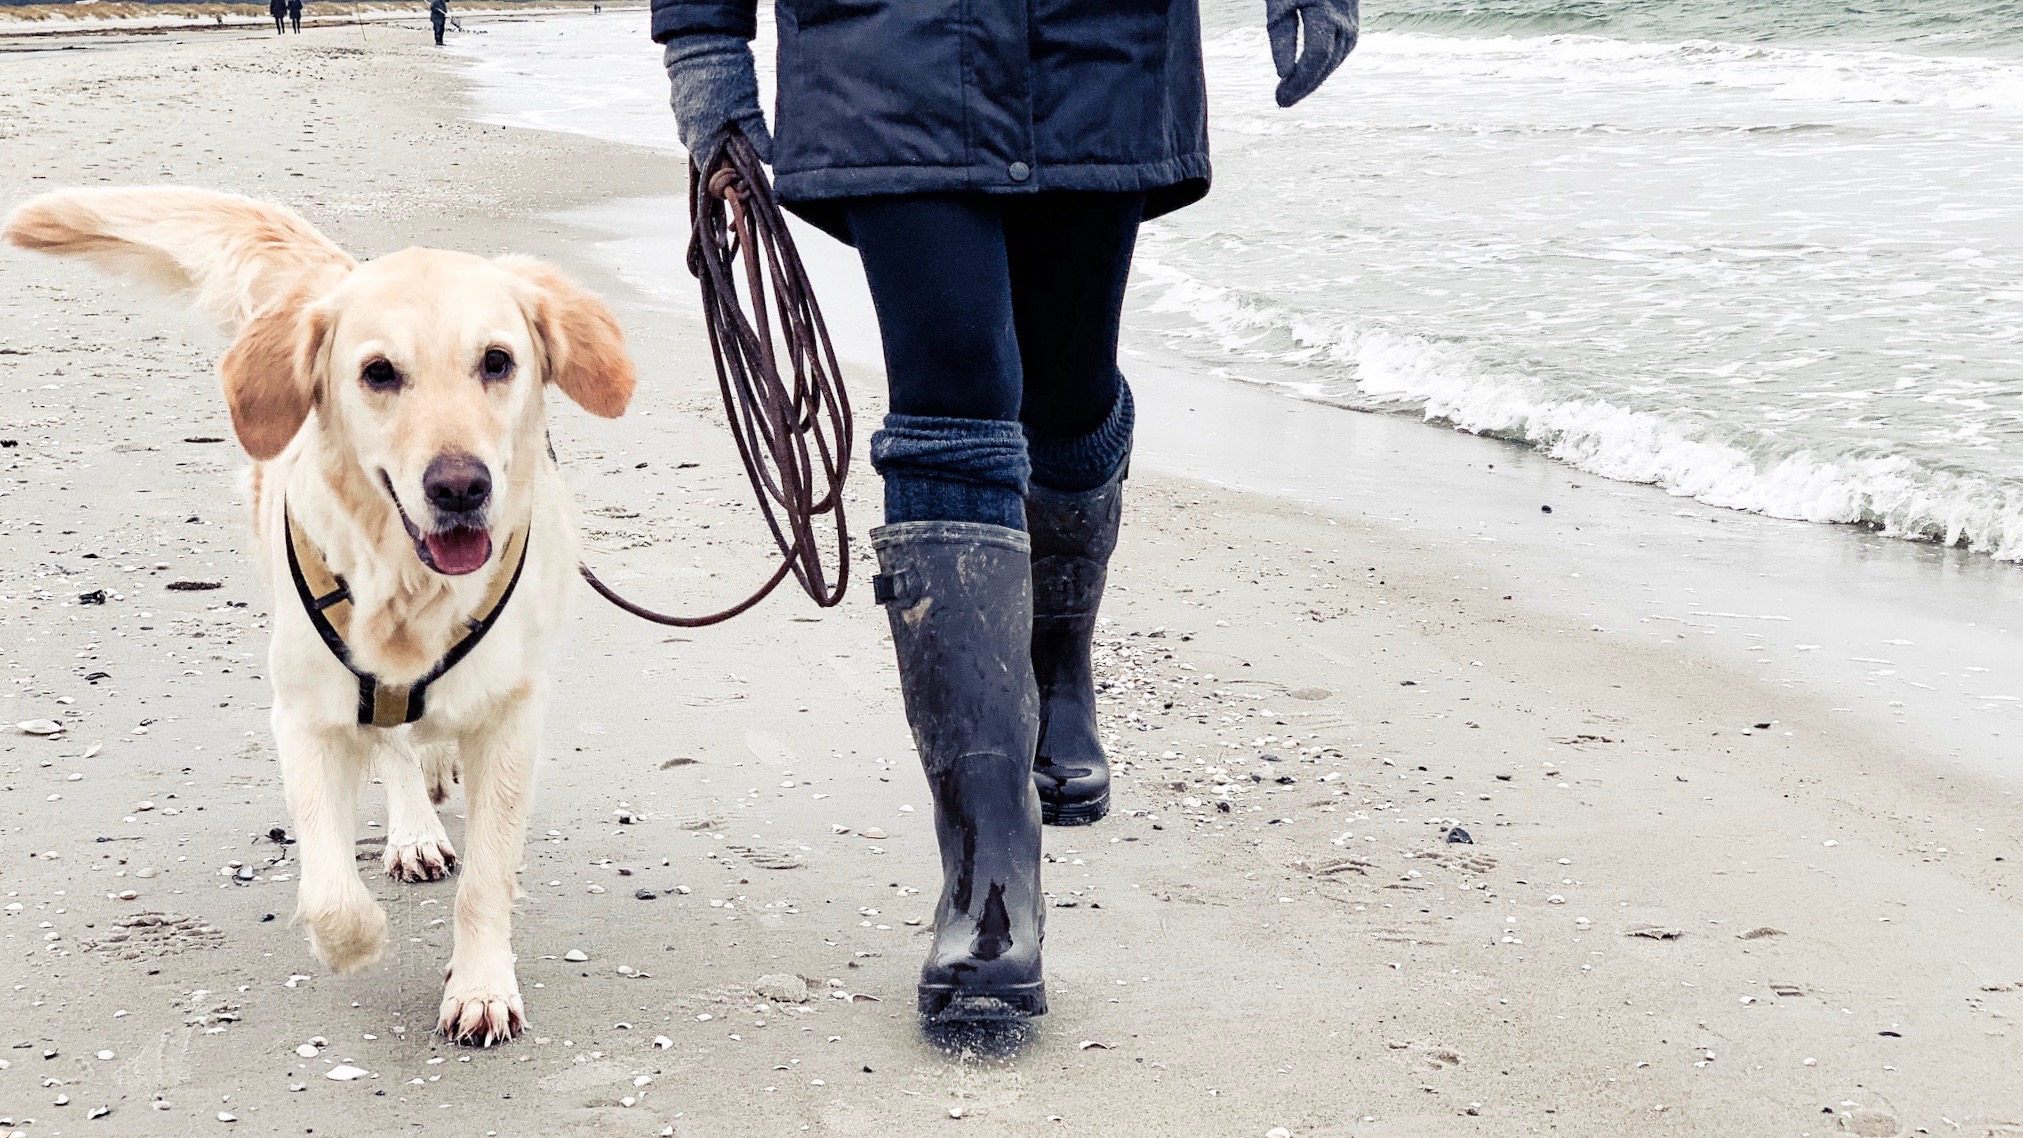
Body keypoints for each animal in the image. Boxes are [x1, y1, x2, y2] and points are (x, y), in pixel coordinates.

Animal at [3, 184, 635, 1042]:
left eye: (497, 362)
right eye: (379, 372)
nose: (460, 487)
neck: (410, 590)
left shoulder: (512, 714)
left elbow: (488, 877)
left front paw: (480, 986)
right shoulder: (304, 713)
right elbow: (330, 889)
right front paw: (357, 941)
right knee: (395, 747)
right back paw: (414, 829)